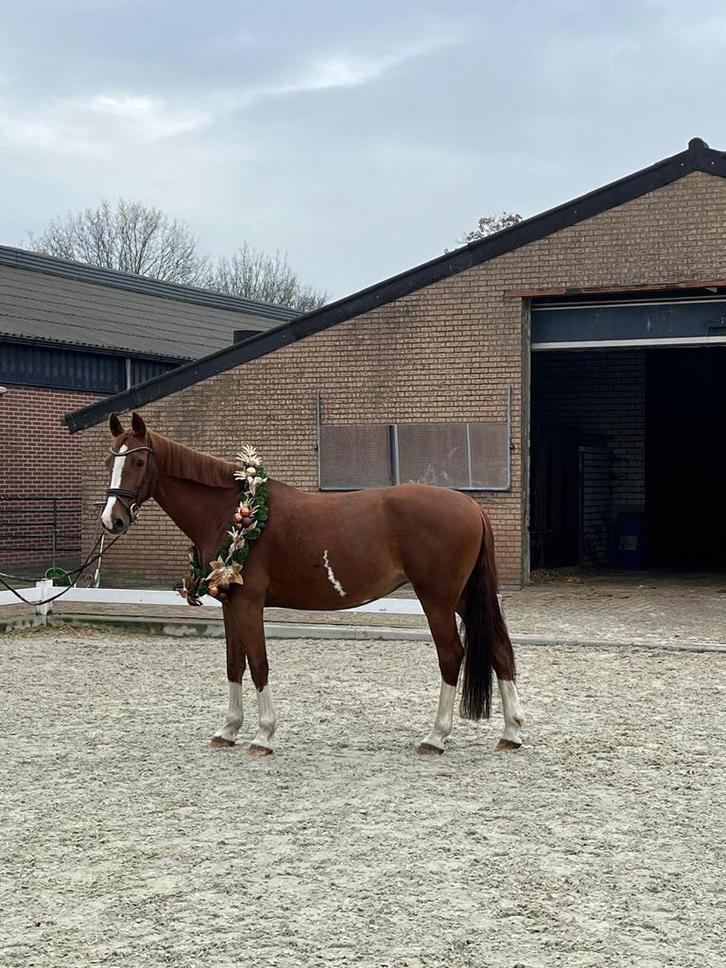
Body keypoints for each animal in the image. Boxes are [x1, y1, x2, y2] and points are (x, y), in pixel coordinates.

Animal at [101, 412, 524, 757]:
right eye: (109, 461)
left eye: (138, 460)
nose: (112, 520)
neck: (233, 513)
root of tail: (471, 505)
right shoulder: (230, 605)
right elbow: (234, 664)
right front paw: (228, 730)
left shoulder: (249, 605)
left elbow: (258, 664)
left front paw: (263, 736)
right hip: (463, 597)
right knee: (500, 650)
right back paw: (511, 733)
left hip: (437, 599)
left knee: (452, 655)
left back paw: (436, 737)